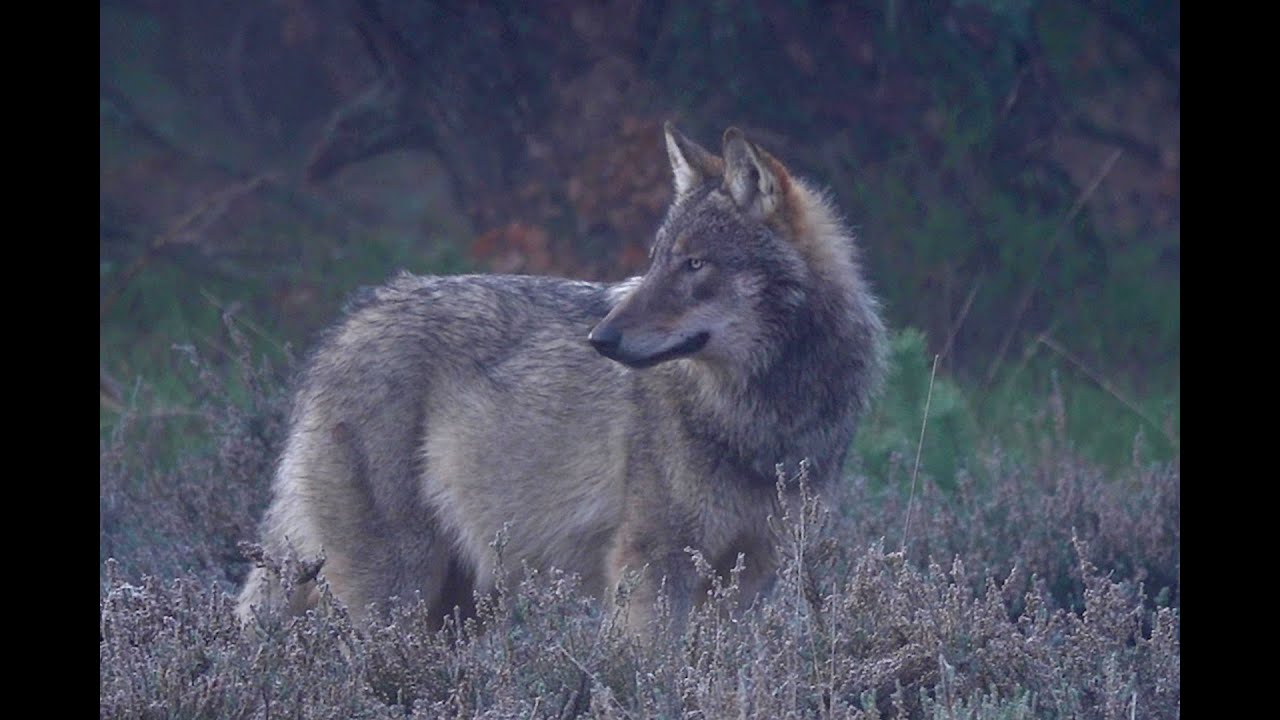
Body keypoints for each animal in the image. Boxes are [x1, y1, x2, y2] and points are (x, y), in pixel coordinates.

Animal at [237, 123, 887, 634]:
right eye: (656, 261)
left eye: (694, 264)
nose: (600, 340)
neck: (763, 418)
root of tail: (350, 321)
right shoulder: (650, 568)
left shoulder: (752, 575)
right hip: (395, 594)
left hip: (456, 606)